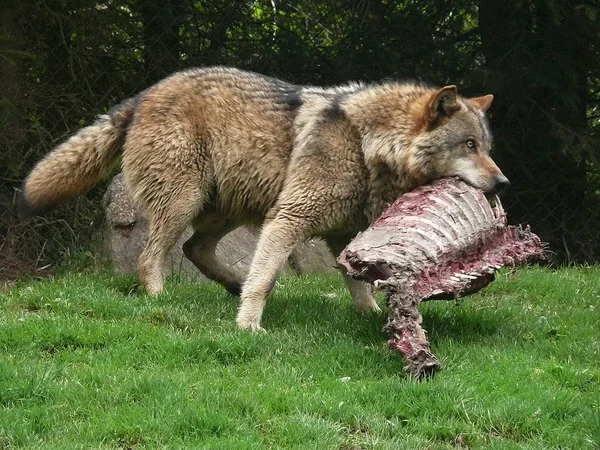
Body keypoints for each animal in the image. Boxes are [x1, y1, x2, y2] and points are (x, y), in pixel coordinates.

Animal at [18, 67, 506, 330]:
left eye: (486, 146)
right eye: (469, 146)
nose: (502, 182)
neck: (368, 144)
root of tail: (143, 95)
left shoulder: (342, 232)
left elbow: (358, 284)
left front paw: (368, 315)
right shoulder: (289, 218)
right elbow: (266, 281)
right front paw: (248, 325)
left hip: (230, 208)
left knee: (195, 250)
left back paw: (230, 285)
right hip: (187, 203)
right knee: (150, 257)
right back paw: (160, 298)